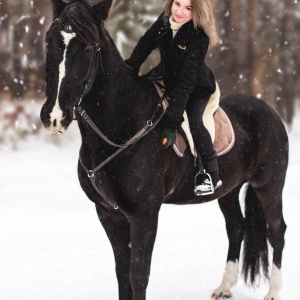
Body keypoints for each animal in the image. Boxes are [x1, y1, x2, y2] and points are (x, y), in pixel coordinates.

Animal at [40, 1, 288, 298]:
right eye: (48, 41)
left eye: (88, 47)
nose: (55, 116)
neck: (123, 127)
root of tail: (270, 111)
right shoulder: (109, 213)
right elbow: (122, 274)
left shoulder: (145, 213)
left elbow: (138, 275)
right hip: (228, 189)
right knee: (236, 227)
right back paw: (224, 287)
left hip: (268, 185)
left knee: (277, 230)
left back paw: (273, 291)